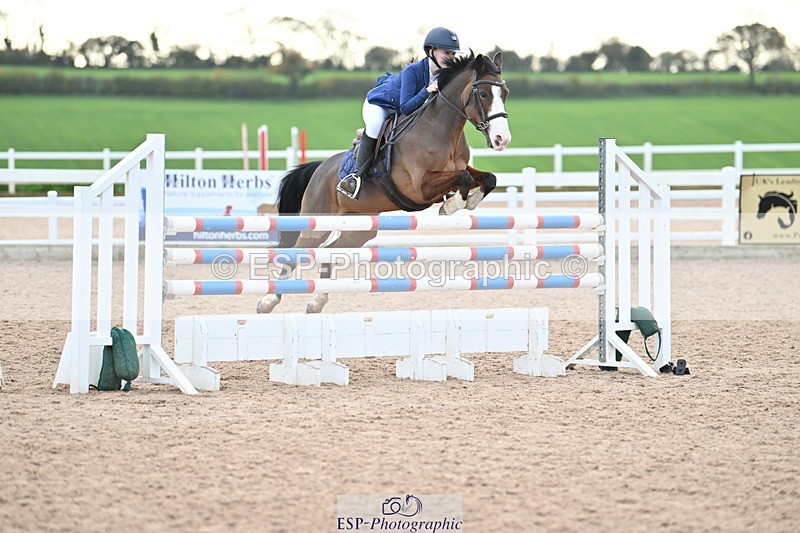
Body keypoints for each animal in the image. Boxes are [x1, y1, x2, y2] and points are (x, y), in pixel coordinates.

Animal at [257, 51, 512, 314]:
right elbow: (464, 178)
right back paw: (268, 301)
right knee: (298, 252)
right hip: (318, 222)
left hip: (360, 228)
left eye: (505, 93)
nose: (502, 139)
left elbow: (486, 178)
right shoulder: (420, 187)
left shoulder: (456, 170)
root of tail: (319, 168)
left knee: (332, 250)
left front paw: (466, 201)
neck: (441, 129)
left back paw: (317, 301)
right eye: (484, 94)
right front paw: (451, 205)